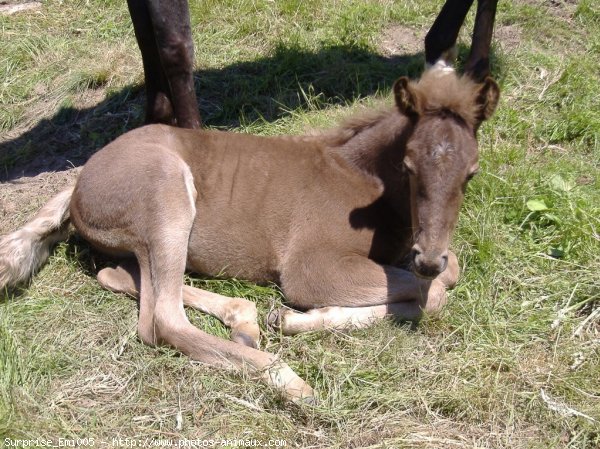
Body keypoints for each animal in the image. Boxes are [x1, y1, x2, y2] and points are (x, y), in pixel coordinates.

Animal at [0, 68, 496, 400]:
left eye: (471, 173)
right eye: (409, 167)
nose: (428, 257)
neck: (364, 182)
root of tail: (78, 179)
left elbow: (448, 274)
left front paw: (294, 320)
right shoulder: (310, 267)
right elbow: (436, 293)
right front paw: (299, 319)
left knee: (122, 277)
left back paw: (245, 320)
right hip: (167, 197)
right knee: (161, 319)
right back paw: (284, 377)